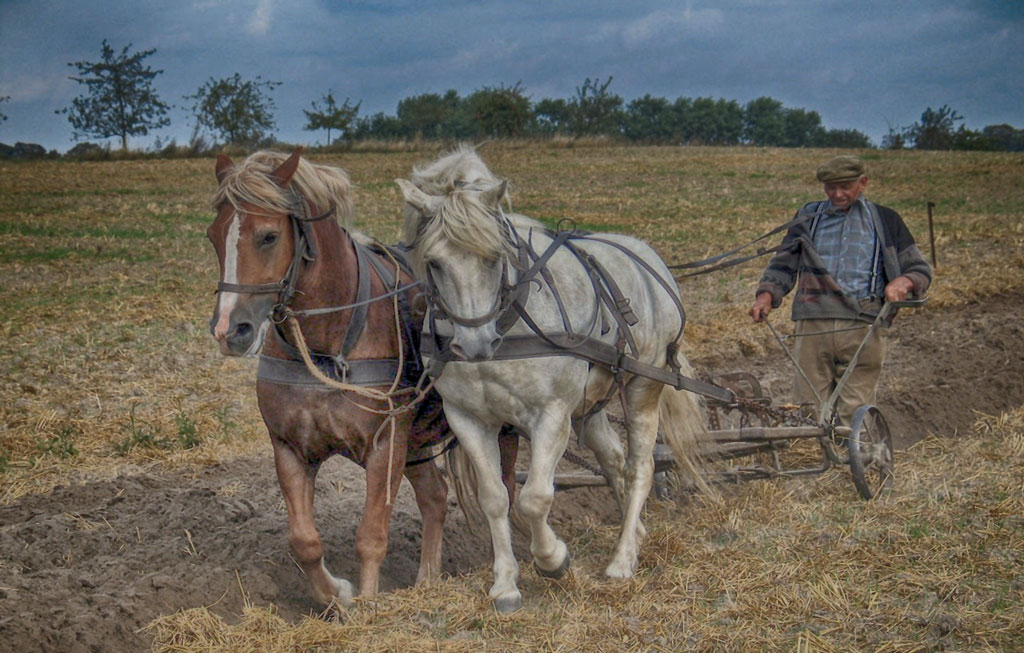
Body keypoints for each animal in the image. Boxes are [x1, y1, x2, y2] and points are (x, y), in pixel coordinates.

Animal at [207, 149, 483, 610]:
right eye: (213, 236)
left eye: (268, 236)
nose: (230, 330)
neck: (327, 343)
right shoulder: (289, 447)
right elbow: (304, 542)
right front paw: (338, 596)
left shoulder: (386, 443)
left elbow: (371, 535)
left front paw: (370, 606)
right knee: (436, 496)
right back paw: (427, 581)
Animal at [395, 147, 708, 614]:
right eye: (434, 263)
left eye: (494, 257)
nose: (476, 344)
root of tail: (650, 259)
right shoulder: (468, 418)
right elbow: (495, 498)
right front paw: (505, 584)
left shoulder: (551, 415)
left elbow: (535, 498)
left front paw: (553, 559)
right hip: (591, 406)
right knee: (613, 458)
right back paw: (633, 534)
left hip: (642, 387)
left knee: (640, 466)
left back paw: (622, 560)